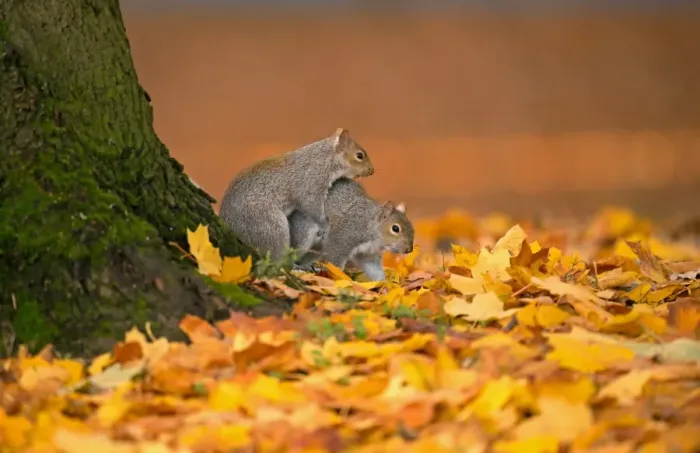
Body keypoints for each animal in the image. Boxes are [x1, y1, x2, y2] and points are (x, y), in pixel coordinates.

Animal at [219, 129, 375, 261]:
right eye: (359, 155)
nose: (372, 171)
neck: (325, 159)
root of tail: (232, 226)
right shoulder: (311, 183)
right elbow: (311, 207)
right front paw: (324, 223)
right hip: (268, 226)